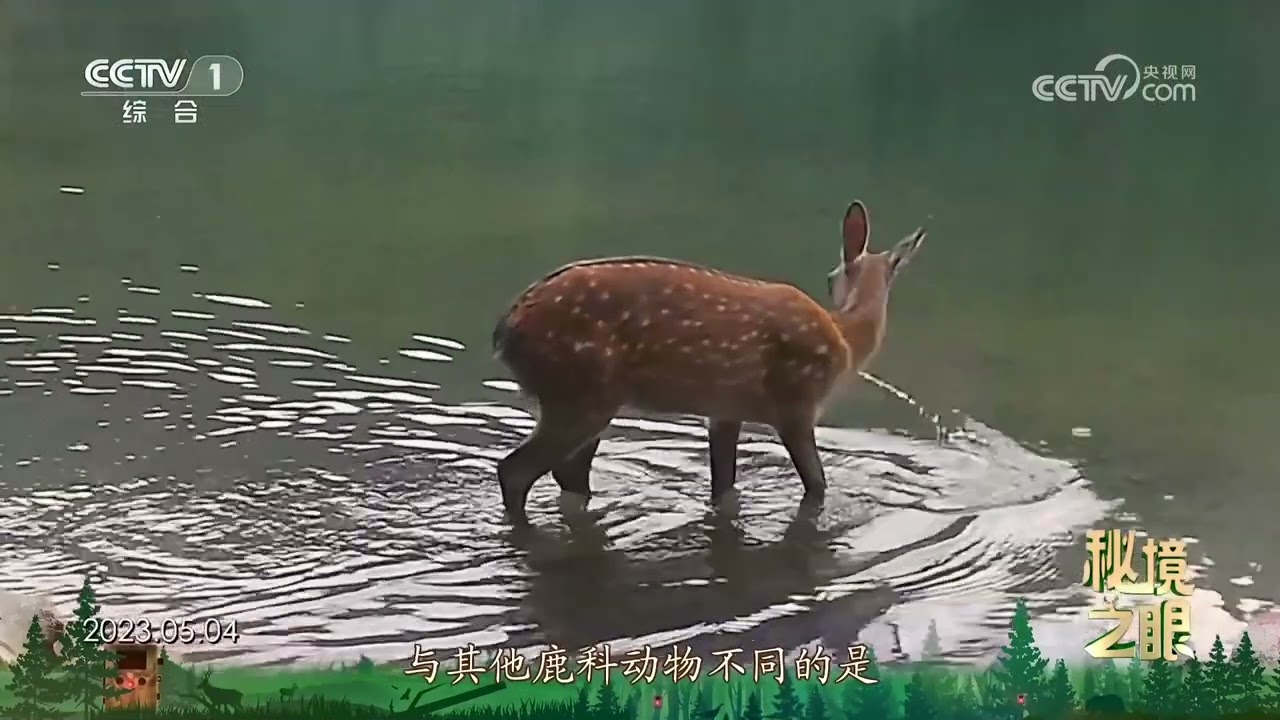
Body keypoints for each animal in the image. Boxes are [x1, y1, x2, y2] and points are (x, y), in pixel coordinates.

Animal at [491, 199, 926, 523]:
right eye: (831, 276)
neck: (846, 341)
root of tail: (506, 329)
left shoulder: (725, 410)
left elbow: (724, 486)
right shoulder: (797, 404)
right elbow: (817, 484)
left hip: (578, 398)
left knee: (567, 474)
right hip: (580, 392)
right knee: (516, 471)